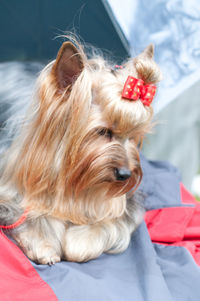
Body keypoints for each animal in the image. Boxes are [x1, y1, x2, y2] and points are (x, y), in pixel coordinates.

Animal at [0, 37, 161, 262]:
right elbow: (27, 215)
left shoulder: (126, 206)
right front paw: (45, 245)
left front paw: (79, 242)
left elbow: (109, 220)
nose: (125, 174)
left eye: (133, 135)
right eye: (103, 131)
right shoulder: (11, 192)